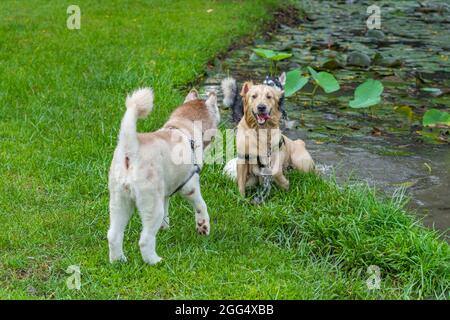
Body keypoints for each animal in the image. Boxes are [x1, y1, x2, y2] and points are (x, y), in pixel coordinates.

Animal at [109, 87, 221, 264]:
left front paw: (165, 228)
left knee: (113, 235)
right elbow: (201, 205)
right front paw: (203, 227)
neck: (183, 124)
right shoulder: (189, 186)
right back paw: (155, 261)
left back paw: (118, 261)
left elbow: (167, 207)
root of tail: (131, 149)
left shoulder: (165, 192)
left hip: (119, 202)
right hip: (151, 206)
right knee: (145, 239)